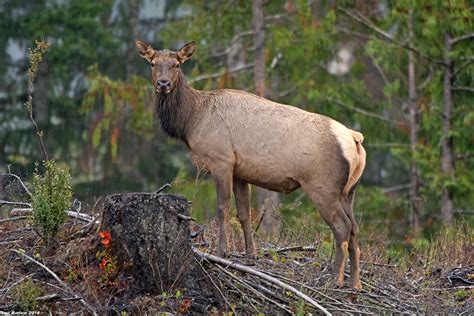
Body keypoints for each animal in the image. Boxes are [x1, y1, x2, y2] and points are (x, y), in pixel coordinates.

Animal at [136, 39, 366, 288]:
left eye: (177, 64)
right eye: (152, 63)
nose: (163, 83)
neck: (190, 122)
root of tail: (355, 139)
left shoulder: (221, 160)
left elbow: (222, 208)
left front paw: (223, 251)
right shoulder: (240, 172)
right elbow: (244, 213)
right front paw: (250, 255)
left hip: (322, 186)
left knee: (342, 227)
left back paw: (335, 280)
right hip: (348, 191)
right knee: (354, 228)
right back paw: (355, 284)